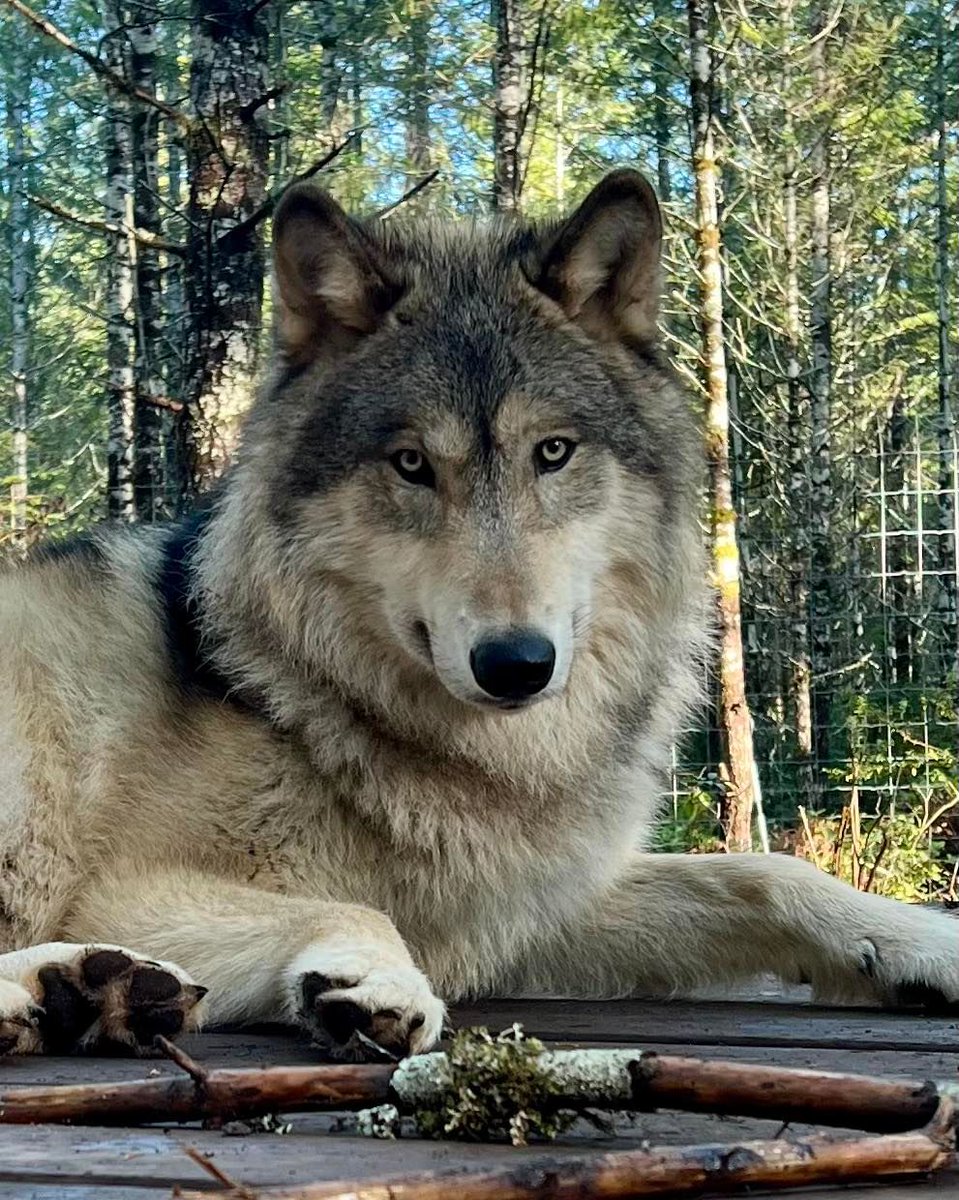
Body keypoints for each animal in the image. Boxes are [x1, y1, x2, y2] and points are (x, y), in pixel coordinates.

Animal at [1, 170, 956, 1059]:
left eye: (553, 452)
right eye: (412, 464)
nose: (515, 664)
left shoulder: (520, 912)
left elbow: (763, 872)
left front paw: (920, 941)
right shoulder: (130, 889)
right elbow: (354, 908)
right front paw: (367, 981)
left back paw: (88, 990)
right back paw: (75, 990)